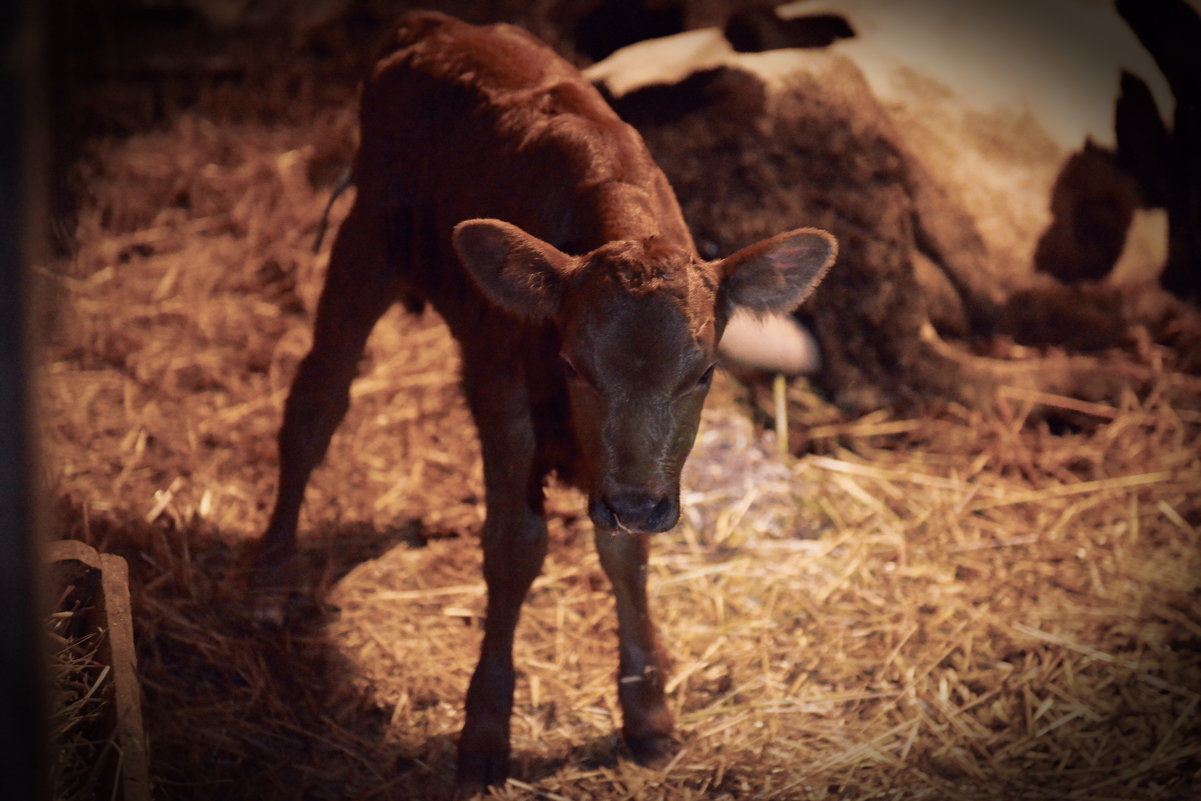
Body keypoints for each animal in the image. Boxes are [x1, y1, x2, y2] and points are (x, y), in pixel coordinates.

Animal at [253, 9, 835, 792]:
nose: (640, 504)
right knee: (315, 405)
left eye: (704, 373)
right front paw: (484, 730)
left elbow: (625, 554)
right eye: (570, 365)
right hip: (365, 241)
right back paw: (270, 582)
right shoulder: (503, 393)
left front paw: (647, 716)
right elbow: (513, 546)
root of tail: (435, 25)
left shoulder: (627, 475)